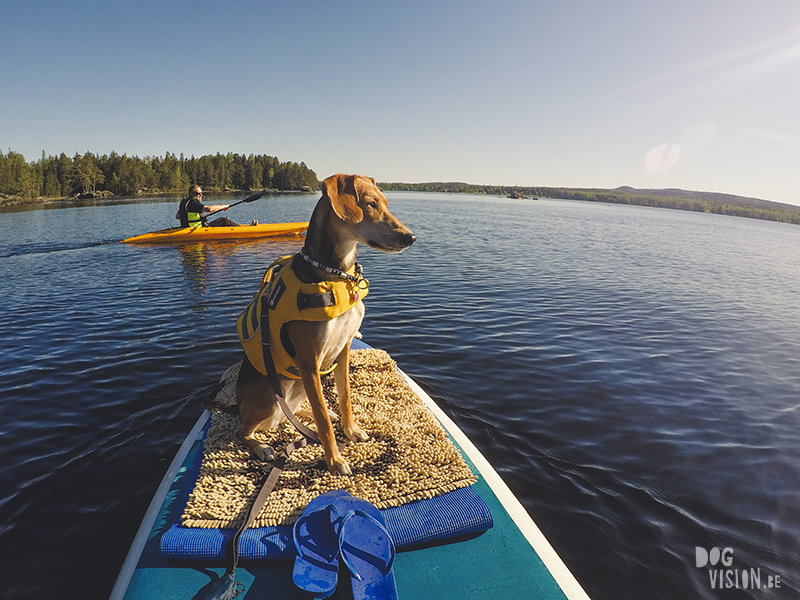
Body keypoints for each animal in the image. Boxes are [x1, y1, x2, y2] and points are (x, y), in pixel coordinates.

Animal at [234, 172, 416, 474]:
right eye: (371, 204)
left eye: (386, 203)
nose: (411, 237)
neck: (337, 275)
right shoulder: (309, 361)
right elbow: (323, 421)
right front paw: (334, 459)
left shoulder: (343, 349)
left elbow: (345, 398)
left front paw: (351, 430)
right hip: (270, 397)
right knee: (244, 430)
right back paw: (261, 447)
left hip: (296, 391)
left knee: (292, 414)